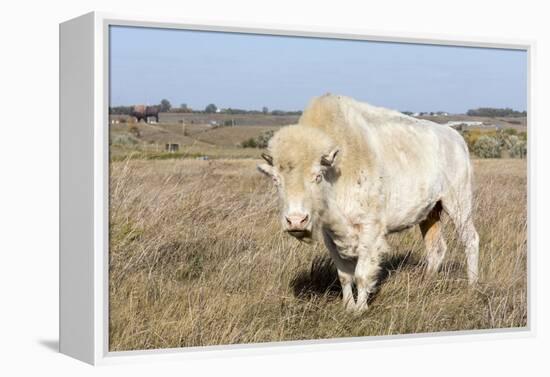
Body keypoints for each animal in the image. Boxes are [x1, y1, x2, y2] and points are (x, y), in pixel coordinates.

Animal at [258, 93, 478, 312]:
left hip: (458, 203)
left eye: (317, 176)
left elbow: (362, 274)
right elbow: (344, 275)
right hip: (430, 213)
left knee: (470, 239)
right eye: (276, 180)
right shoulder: (330, 234)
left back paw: (472, 285)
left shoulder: (369, 230)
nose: (296, 221)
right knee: (436, 248)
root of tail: (455, 138)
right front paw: (348, 306)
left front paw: (360, 309)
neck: (337, 169)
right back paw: (425, 284)